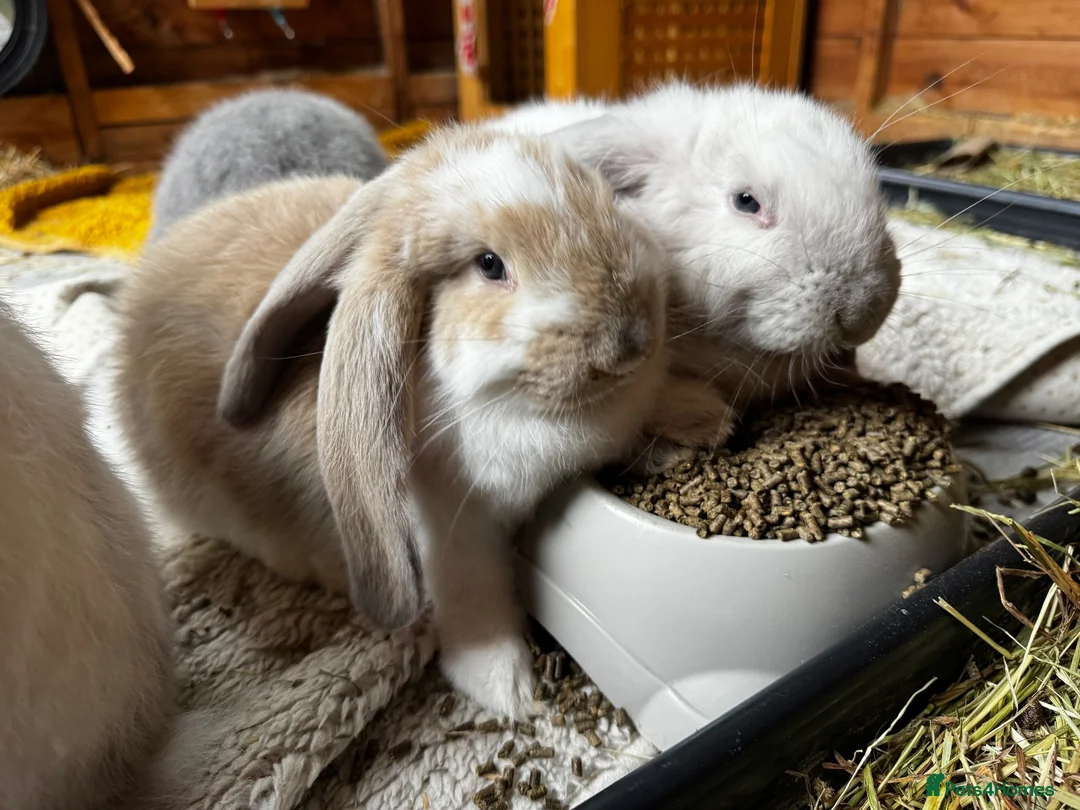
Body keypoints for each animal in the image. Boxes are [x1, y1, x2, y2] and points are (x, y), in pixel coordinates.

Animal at [113, 124, 723, 718]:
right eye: (489, 265)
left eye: (605, 201)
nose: (631, 341)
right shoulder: (454, 530)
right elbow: (476, 594)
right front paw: (505, 687)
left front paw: (704, 414)